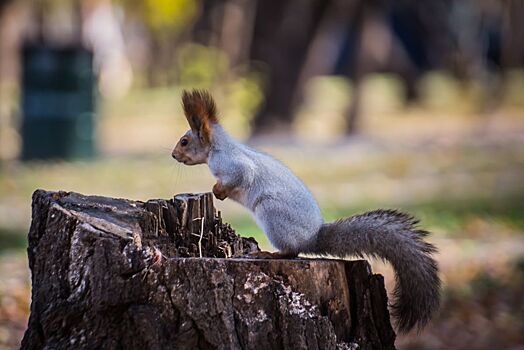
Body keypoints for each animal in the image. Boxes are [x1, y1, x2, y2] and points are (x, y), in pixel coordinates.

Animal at [173, 89, 442, 332]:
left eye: (185, 141)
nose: (173, 155)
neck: (218, 147)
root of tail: (313, 238)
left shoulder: (233, 165)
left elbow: (240, 176)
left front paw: (218, 190)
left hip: (272, 214)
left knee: (292, 252)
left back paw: (272, 254)